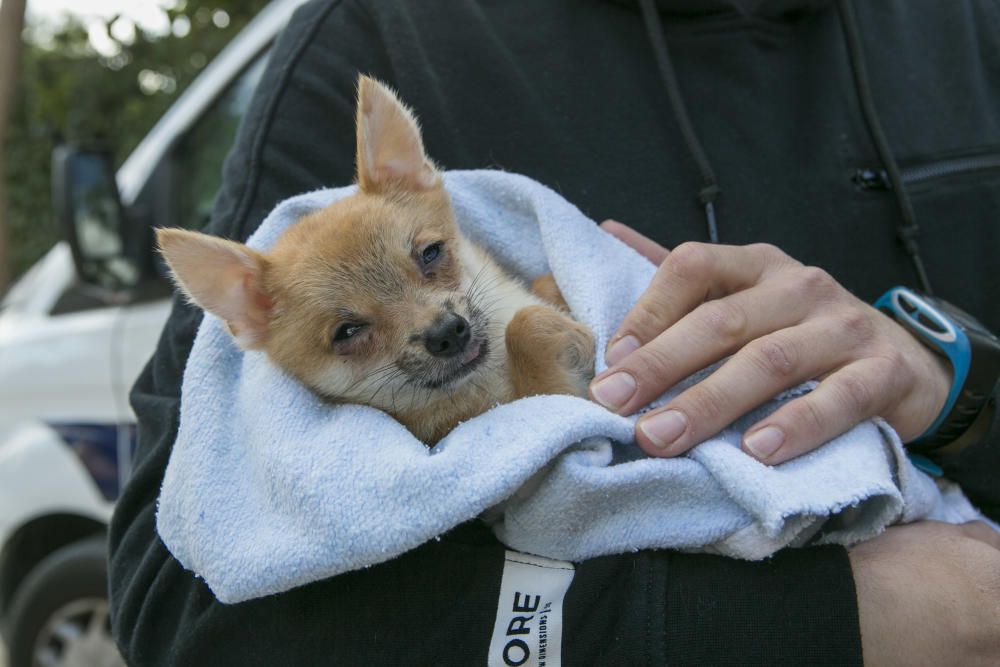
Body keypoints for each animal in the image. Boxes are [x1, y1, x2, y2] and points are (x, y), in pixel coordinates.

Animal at [157, 77, 592, 444]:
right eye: (347, 332)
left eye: (431, 252)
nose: (447, 332)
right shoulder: (540, 408)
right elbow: (530, 337)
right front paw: (559, 333)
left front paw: (553, 293)